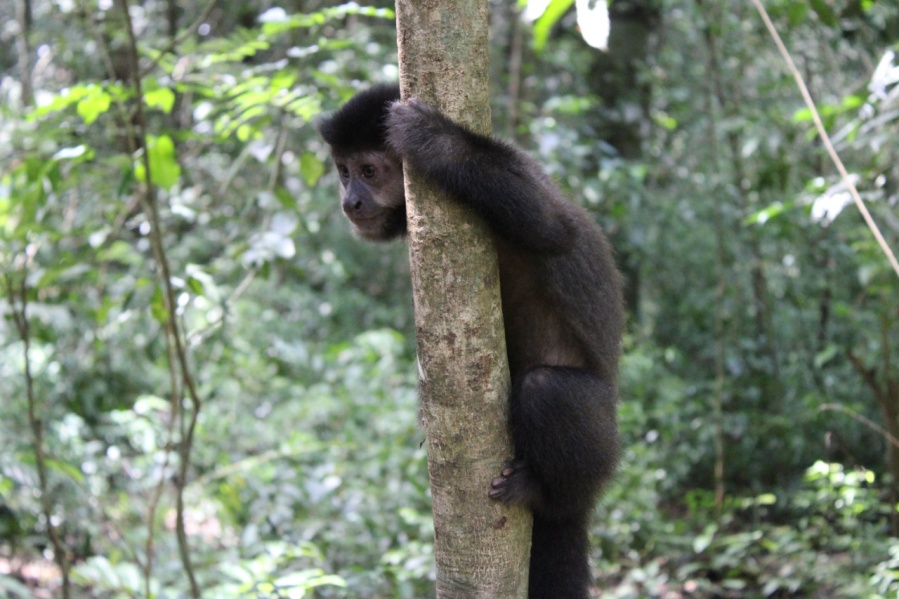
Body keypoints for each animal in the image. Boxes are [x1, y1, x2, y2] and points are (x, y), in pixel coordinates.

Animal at [320, 84, 624, 599]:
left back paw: (548, 495)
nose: (350, 202)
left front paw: (431, 138)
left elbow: (551, 227)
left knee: (548, 391)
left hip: (605, 437)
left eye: (368, 171)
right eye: (343, 171)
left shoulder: (520, 167)